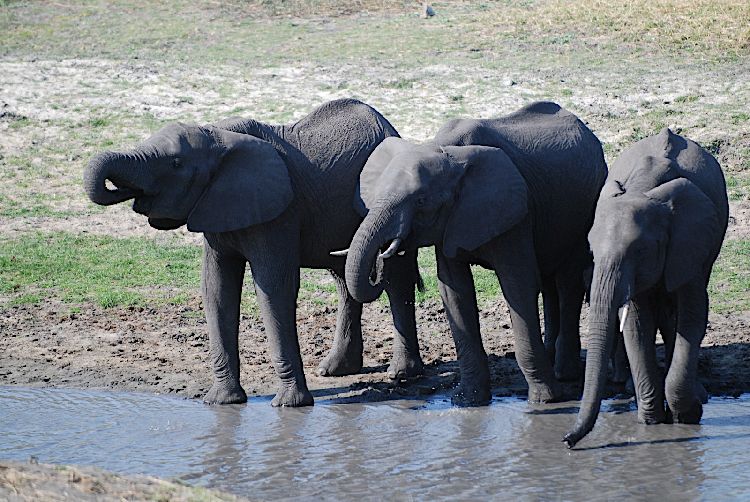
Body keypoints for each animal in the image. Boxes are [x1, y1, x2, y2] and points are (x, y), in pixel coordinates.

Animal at [83, 99, 426, 408]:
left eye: (176, 164)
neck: (218, 136)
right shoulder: (218, 209)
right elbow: (216, 289)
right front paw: (222, 402)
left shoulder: (279, 212)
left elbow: (273, 288)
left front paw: (290, 405)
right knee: (344, 279)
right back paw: (335, 370)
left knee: (395, 279)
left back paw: (401, 374)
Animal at [568, 128, 732, 448]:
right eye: (591, 250)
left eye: (640, 250)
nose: (567, 440)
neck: (643, 188)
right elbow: (637, 324)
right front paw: (652, 421)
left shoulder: (689, 242)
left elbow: (693, 316)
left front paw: (687, 414)